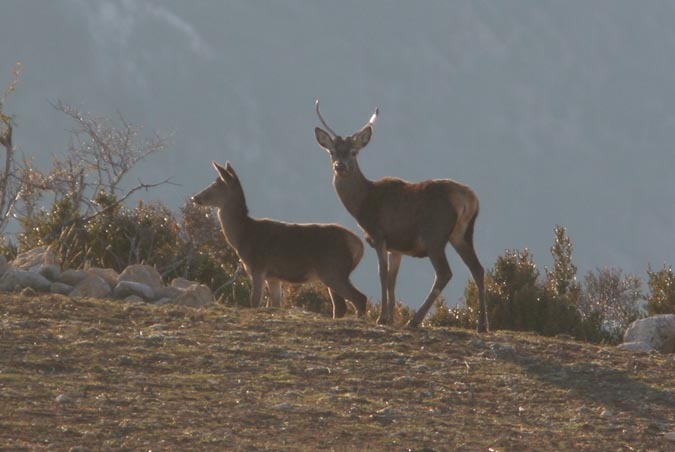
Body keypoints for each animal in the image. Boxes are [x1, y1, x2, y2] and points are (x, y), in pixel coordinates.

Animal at [193, 160, 368, 318]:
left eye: (215, 185)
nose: (195, 197)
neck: (243, 236)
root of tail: (359, 245)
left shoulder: (258, 266)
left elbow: (254, 301)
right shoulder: (274, 277)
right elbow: (276, 304)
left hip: (333, 269)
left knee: (359, 298)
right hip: (332, 272)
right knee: (340, 307)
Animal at [314, 100, 488, 332]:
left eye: (353, 152)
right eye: (331, 152)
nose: (340, 166)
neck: (362, 205)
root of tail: (469, 199)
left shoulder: (379, 234)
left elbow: (382, 274)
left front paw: (382, 317)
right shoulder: (396, 247)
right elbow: (392, 279)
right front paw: (390, 317)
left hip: (435, 235)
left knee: (445, 273)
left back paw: (415, 319)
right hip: (462, 234)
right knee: (478, 269)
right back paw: (483, 325)